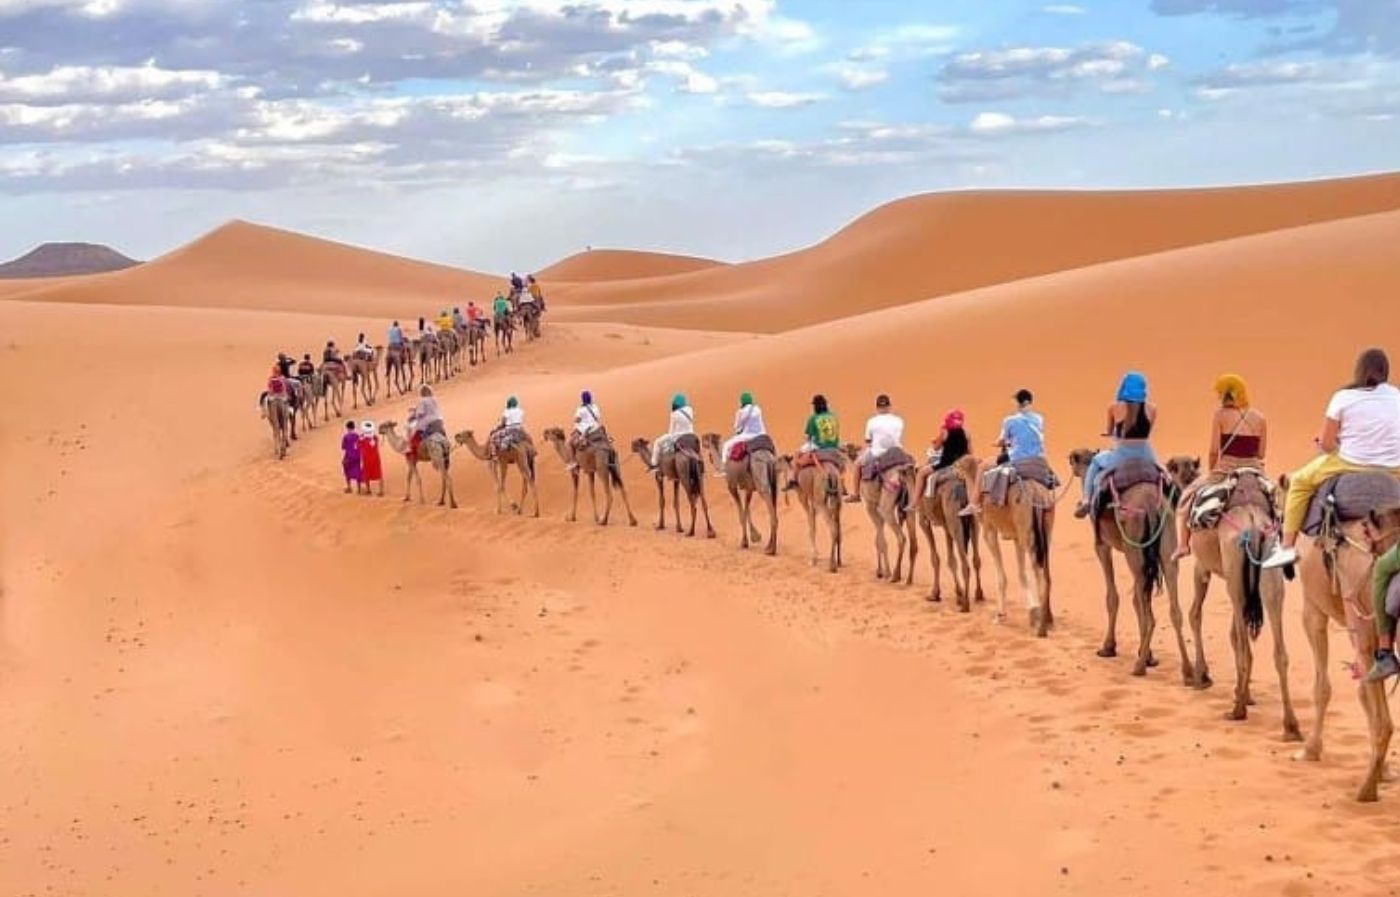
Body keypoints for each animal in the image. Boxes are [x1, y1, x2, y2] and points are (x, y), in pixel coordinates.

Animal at [916, 465, 985, 610]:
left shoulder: (924, 520)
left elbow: (935, 558)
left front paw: (935, 594)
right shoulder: (946, 527)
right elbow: (951, 560)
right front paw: (958, 594)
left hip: (954, 519)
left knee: (965, 564)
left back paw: (965, 605)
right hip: (973, 521)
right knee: (976, 559)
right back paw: (979, 594)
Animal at [952, 455, 1056, 636]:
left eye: (958, 464)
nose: (952, 470)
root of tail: (1038, 495)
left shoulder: (989, 530)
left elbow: (1003, 576)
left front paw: (1001, 615)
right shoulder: (1016, 537)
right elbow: (1021, 573)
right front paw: (1031, 611)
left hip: (1027, 532)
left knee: (1038, 572)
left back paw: (1041, 627)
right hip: (1045, 532)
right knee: (1046, 574)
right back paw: (1047, 618)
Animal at [1067, 449, 1192, 680]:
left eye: (1076, 460)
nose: (1071, 457)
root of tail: (1151, 506)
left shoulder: (1102, 546)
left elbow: (1113, 597)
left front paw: (1109, 647)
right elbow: (1136, 600)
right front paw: (1148, 653)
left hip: (1134, 550)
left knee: (1150, 614)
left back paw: (1139, 667)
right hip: (1164, 552)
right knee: (1175, 610)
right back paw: (1190, 672)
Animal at [1165, 458, 1301, 740]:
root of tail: (1254, 525)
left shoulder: (1202, 567)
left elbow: (1195, 615)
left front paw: (1201, 676)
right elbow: (1232, 633)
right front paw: (1244, 692)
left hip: (1234, 575)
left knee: (1244, 647)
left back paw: (1237, 710)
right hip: (1267, 573)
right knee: (1277, 649)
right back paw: (1291, 726)